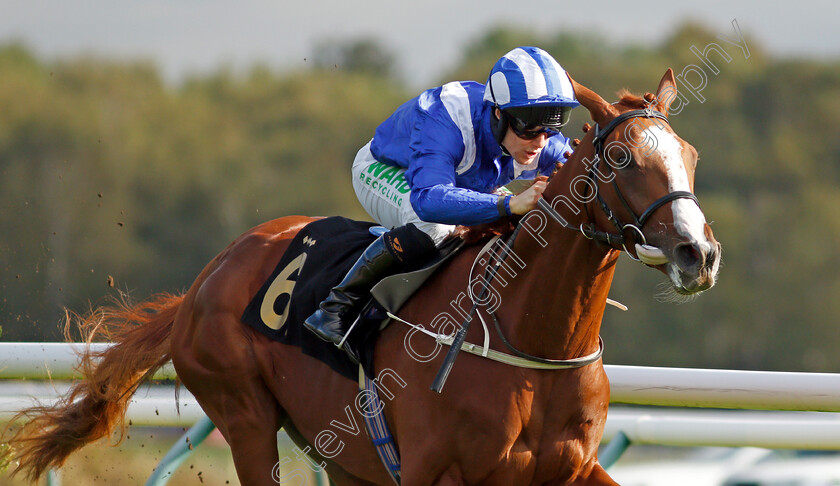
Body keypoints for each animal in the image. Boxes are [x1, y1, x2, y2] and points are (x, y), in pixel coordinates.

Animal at [3, 70, 720, 484]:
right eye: (623, 158)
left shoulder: (572, 471)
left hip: (343, 455)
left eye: (688, 155)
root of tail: (201, 285)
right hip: (244, 416)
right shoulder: (433, 473)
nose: (698, 253)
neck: (531, 340)